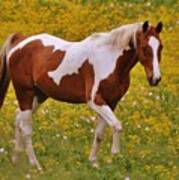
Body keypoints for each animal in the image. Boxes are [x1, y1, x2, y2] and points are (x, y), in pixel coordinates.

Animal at [0, 21, 163, 170]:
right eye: (145, 48)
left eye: (160, 47)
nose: (155, 79)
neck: (110, 60)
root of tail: (20, 42)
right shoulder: (95, 101)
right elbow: (117, 126)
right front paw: (114, 155)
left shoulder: (111, 103)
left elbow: (99, 134)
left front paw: (93, 162)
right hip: (25, 92)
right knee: (26, 129)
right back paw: (36, 165)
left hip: (38, 96)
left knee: (18, 118)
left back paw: (16, 160)